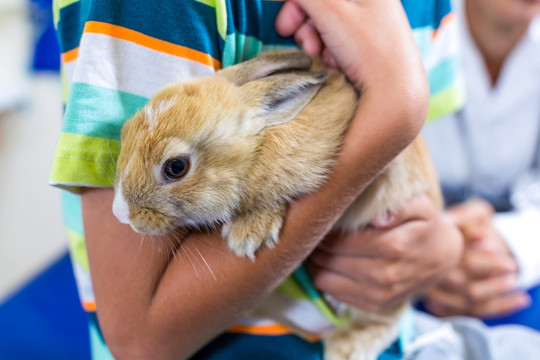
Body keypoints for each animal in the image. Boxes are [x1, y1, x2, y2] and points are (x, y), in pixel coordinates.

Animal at [113, 50, 442, 360]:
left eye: (176, 167)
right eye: (124, 132)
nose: (121, 214)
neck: (256, 147)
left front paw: (247, 236)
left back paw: (345, 349)